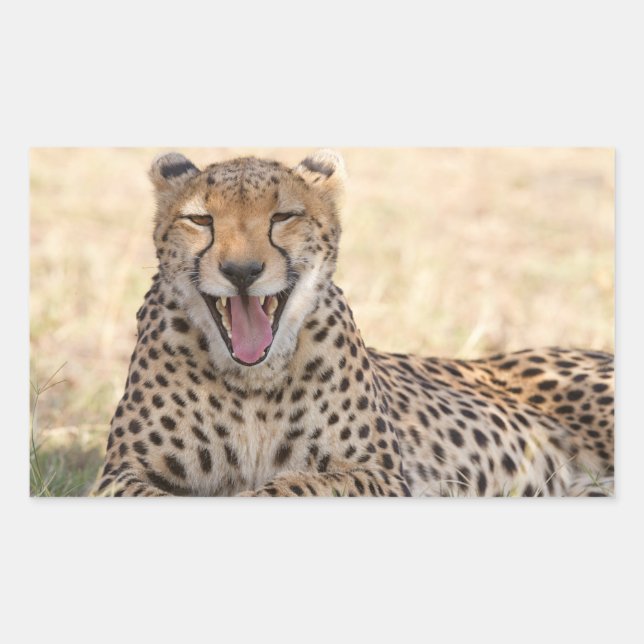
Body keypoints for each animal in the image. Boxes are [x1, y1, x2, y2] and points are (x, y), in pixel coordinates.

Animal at [92, 149, 614, 497]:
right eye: (201, 220)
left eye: (283, 216)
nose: (242, 272)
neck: (253, 382)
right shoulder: (120, 475)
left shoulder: (379, 475)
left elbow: (291, 487)